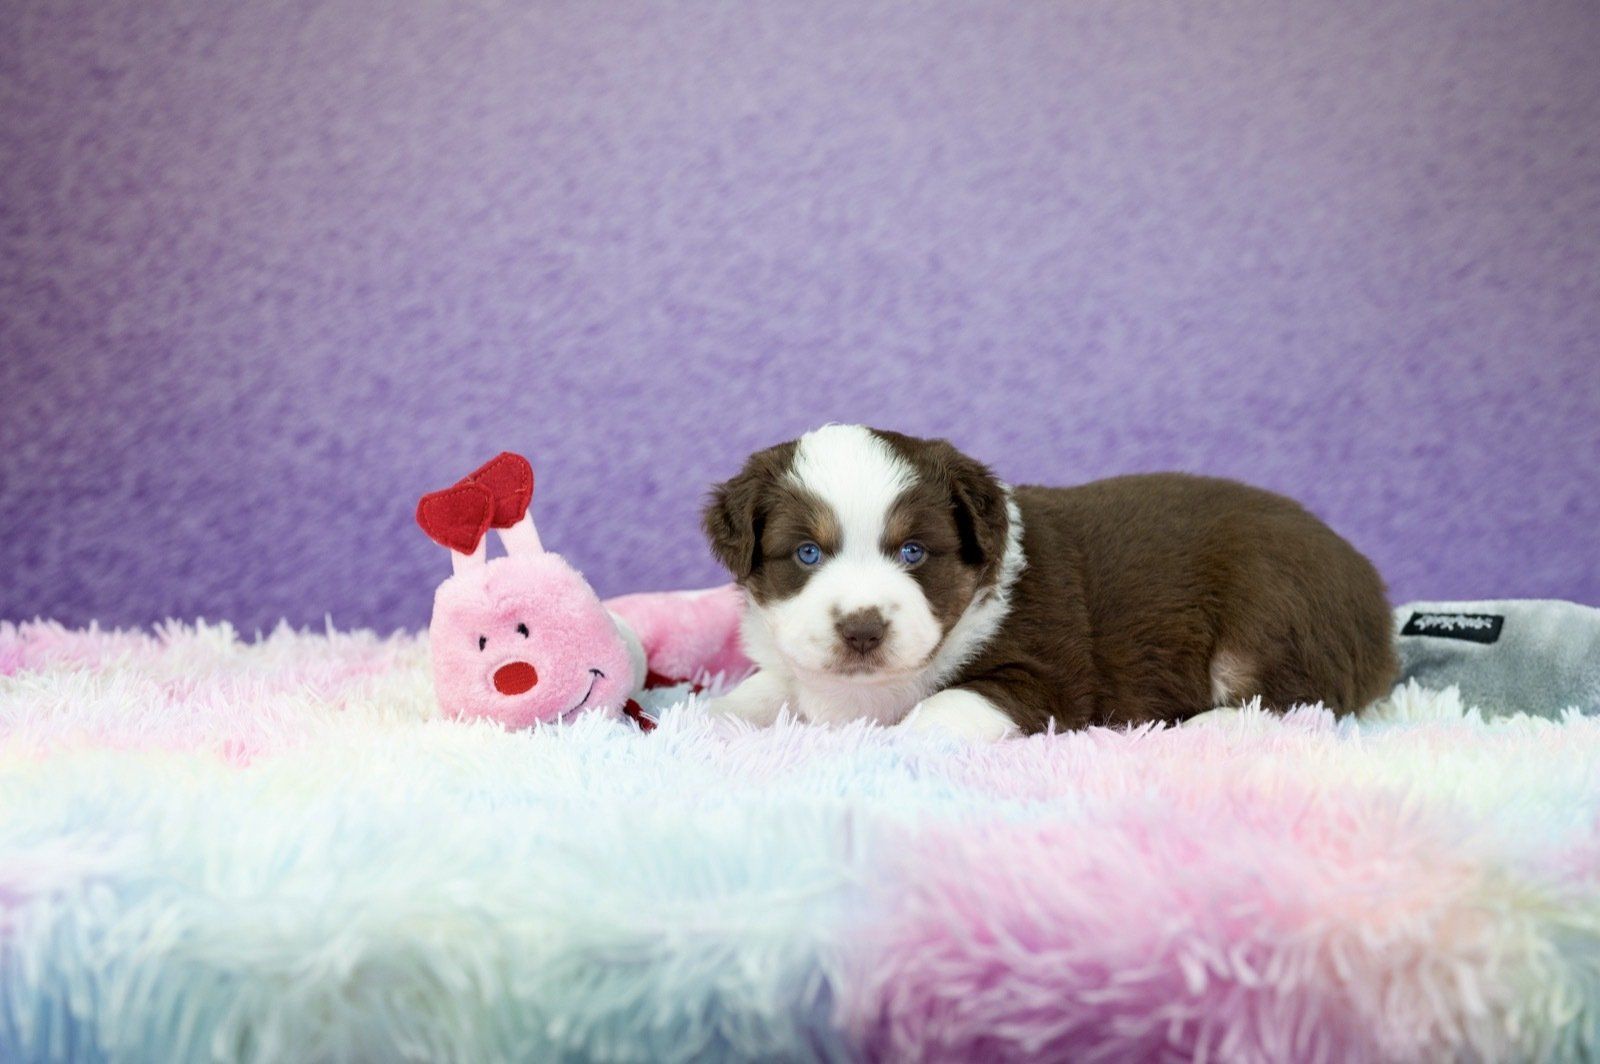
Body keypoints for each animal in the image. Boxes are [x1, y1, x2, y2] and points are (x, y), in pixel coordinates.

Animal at [701, 424, 1397, 740]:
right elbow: (762, 690)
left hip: (1273, 610)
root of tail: (1372, 588)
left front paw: (892, 741)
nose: (862, 631)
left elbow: (940, 708)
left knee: (1295, 700)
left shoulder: (1044, 676)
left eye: (914, 551)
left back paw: (1205, 727)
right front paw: (708, 714)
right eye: (807, 553)